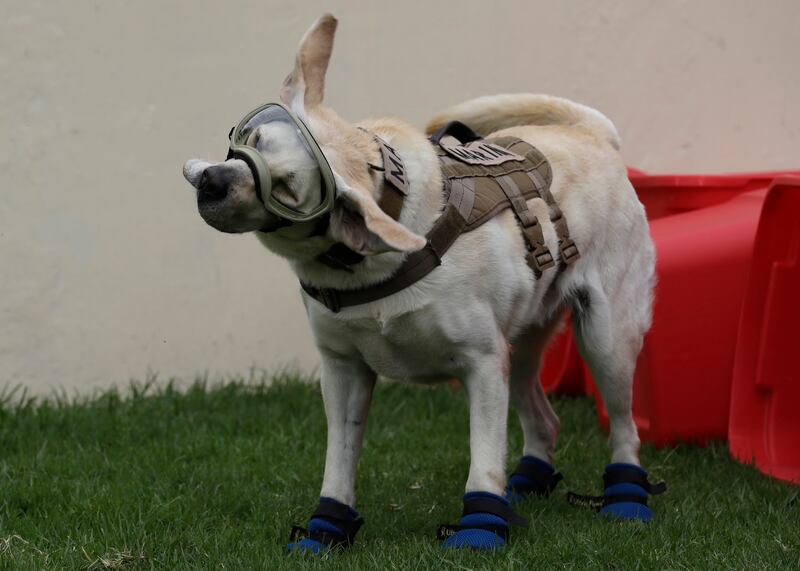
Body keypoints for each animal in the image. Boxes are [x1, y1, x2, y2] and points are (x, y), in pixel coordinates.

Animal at [184, 14, 660, 556]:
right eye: (256, 139)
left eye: (286, 189)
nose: (213, 182)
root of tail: (592, 134)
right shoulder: (342, 369)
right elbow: (339, 463)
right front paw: (326, 528)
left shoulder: (482, 363)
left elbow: (483, 461)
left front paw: (480, 526)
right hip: (520, 348)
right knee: (545, 418)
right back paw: (527, 484)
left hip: (606, 340)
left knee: (625, 428)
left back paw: (625, 497)